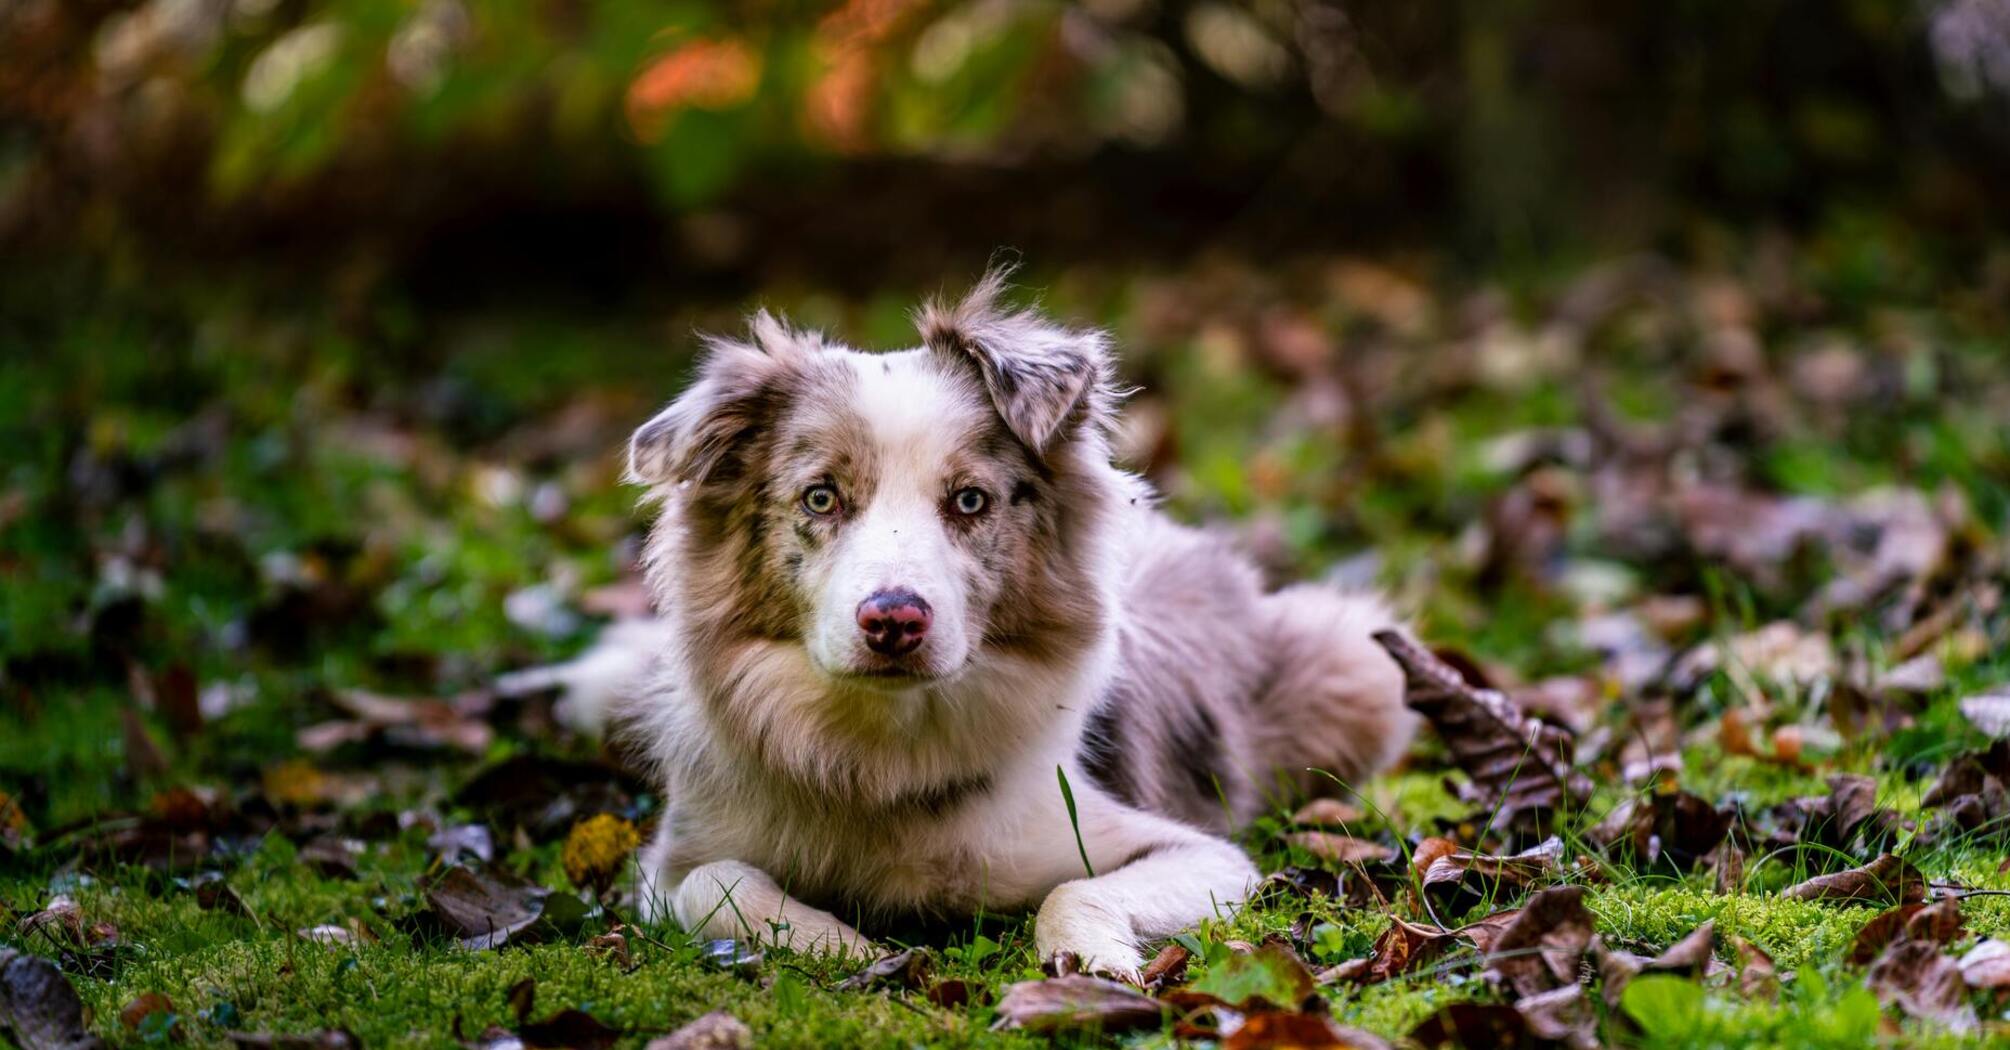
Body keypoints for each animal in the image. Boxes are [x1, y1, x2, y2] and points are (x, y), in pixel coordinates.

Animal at [594, 269, 1415, 973]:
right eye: (820, 497)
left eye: (969, 500)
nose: (893, 620)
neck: (887, 754)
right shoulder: (669, 866)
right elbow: (719, 882)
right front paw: (844, 946)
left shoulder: (1200, 854)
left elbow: (1074, 888)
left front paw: (1090, 963)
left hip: (1358, 665)